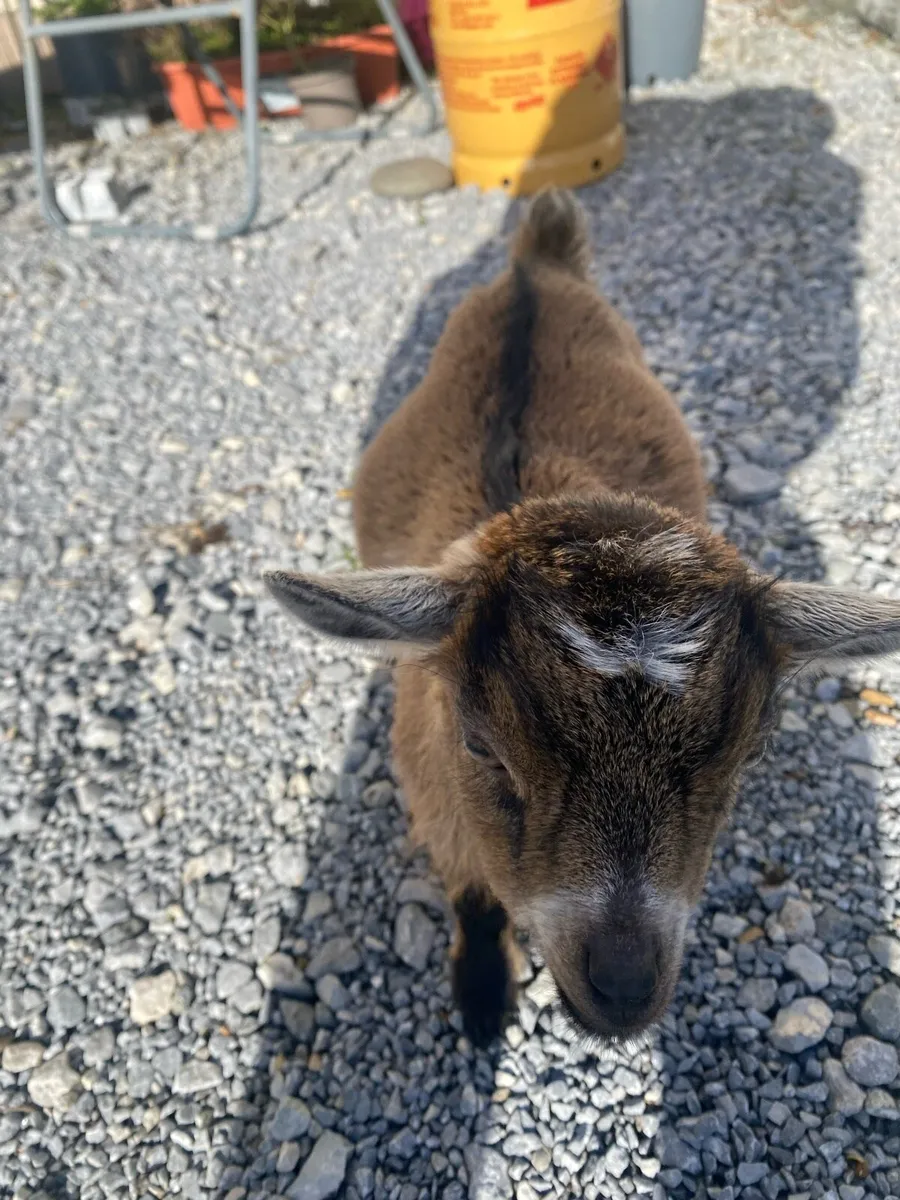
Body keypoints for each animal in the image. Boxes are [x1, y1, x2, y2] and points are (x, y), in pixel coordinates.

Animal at [266, 189, 900, 1046]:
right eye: (480, 744)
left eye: (752, 752)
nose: (625, 987)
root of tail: (537, 260)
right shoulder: (438, 801)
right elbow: (471, 893)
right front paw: (481, 1000)